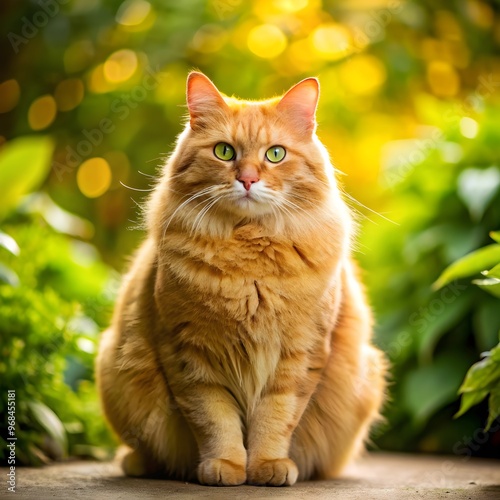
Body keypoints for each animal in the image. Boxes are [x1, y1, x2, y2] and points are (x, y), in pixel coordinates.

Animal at [96, 72, 386, 486]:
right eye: (224, 152)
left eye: (275, 154)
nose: (247, 179)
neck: (249, 268)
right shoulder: (191, 356)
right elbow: (216, 422)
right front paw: (226, 466)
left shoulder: (298, 356)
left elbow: (274, 420)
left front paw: (267, 466)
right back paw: (137, 463)